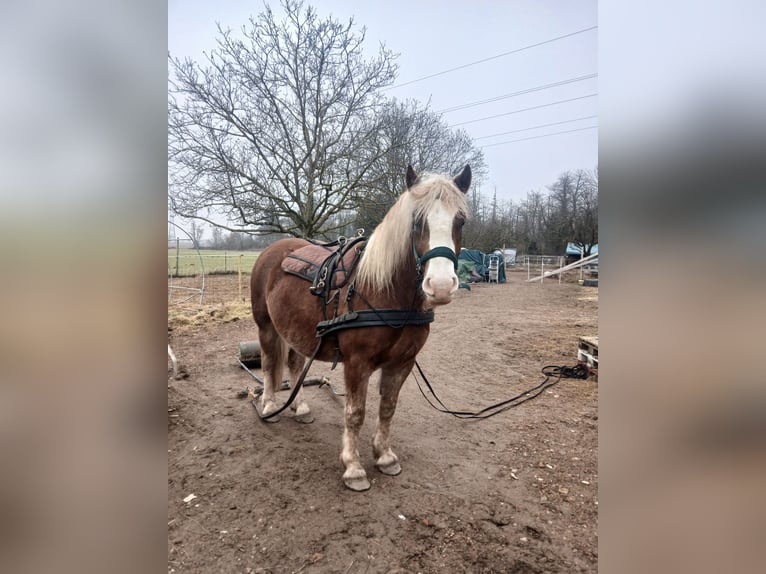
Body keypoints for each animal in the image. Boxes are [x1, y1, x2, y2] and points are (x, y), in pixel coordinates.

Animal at [250, 164, 471, 491]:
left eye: (460, 220)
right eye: (417, 221)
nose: (441, 286)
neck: (385, 291)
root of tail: (274, 250)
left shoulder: (401, 363)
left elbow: (387, 408)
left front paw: (384, 456)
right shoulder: (357, 364)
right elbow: (355, 413)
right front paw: (353, 467)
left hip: (295, 331)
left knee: (295, 364)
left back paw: (300, 408)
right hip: (266, 327)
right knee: (268, 364)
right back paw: (268, 407)